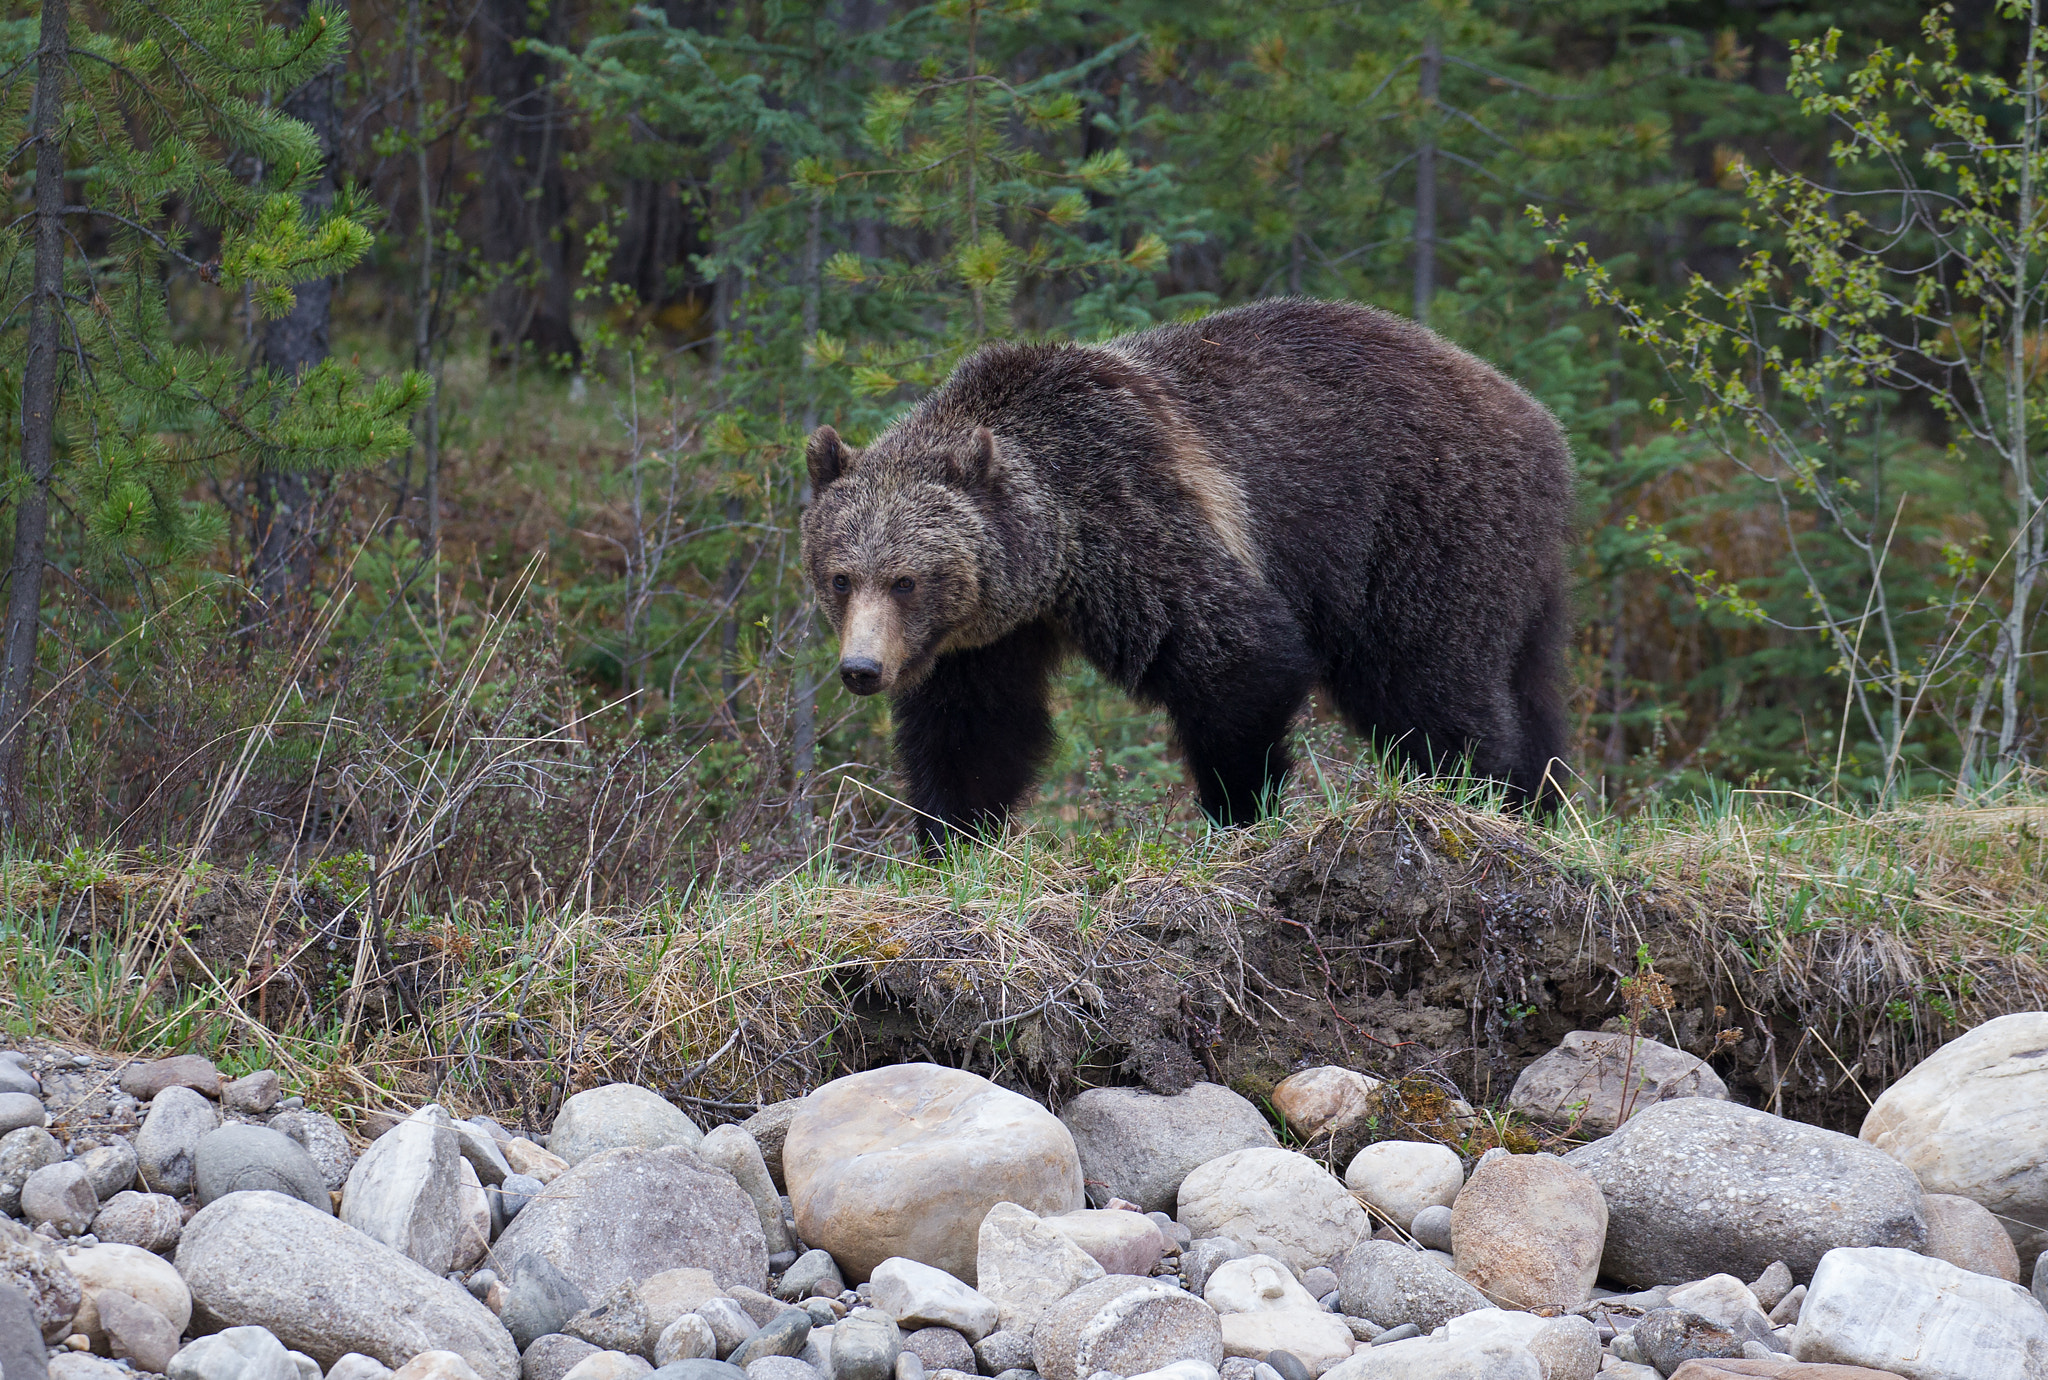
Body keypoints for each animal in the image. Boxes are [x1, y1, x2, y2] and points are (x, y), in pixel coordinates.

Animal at [799, 297, 1574, 846]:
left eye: (906, 579)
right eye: (841, 576)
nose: (862, 669)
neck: (1054, 553)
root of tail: (1538, 418)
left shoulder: (1134, 518)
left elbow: (1235, 657)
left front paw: (1239, 807)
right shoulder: (984, 634)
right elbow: (974, 728)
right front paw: (951, 834)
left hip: (1422, 529)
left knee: (1428, 682)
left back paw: (1484, 790)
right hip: (1519, 573)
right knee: (1530, 684)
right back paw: (1542, 797)